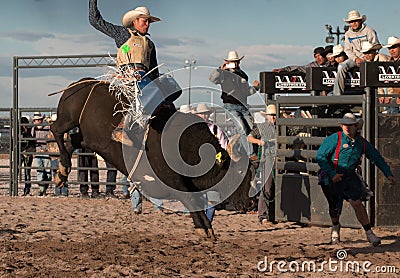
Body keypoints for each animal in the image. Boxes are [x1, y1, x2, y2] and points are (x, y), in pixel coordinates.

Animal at [51, 77, 255, 239]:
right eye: (239, 172)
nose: (249, 203)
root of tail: (81, 83)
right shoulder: (172, 180)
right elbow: (191, 199)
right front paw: (203, 228)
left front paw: (207, 227)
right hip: (68, 118)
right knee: (56, 130)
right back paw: (63, 166)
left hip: (88, 137)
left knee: (72, 141)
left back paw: (62, 172)